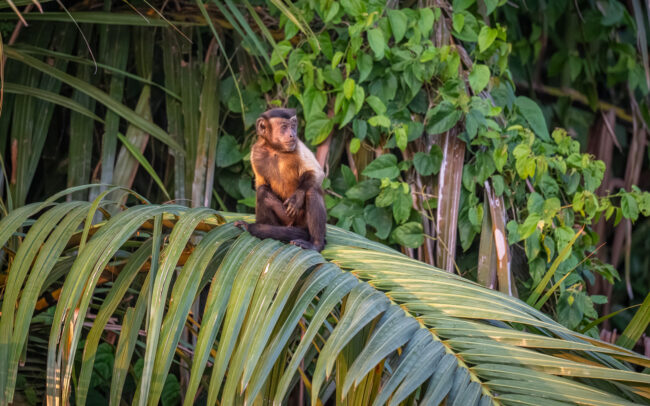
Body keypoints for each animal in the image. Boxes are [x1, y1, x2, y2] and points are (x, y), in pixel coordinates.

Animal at [234, 108, 327, 251]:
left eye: (293, 126)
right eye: (284, 127)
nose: (292, 134)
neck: (275, 149)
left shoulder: (297, 145)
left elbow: (316, 172)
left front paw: (297, 197)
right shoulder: (255, 152)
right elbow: (261, 185)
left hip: (300, 220)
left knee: (312, 190)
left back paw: (316, 244)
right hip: (286, 220)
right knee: (262, 191)